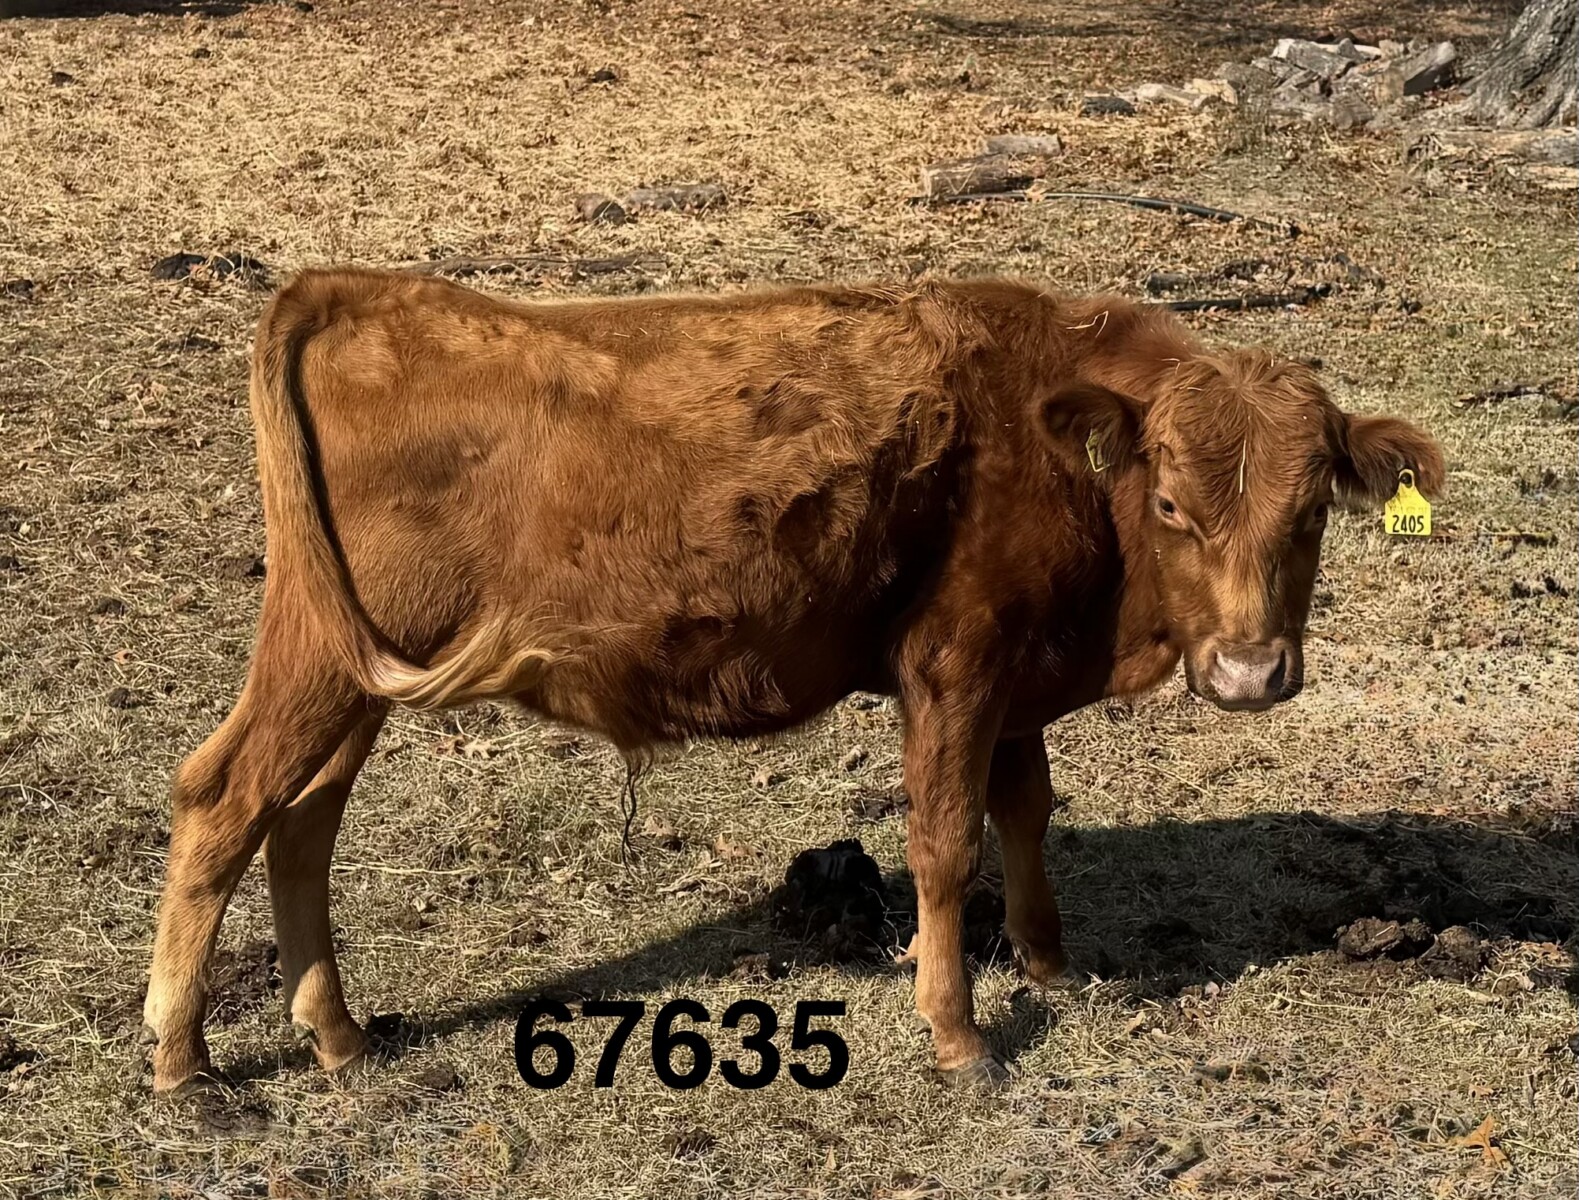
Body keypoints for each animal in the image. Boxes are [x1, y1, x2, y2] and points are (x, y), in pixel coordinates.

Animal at [141, 269, 1443, 1094]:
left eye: (1310, 512)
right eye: (1170, 504)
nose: (1250, 671)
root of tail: (359, 289)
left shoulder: (1014, 676)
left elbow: (1025, 814)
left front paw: (1050, 965)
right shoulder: (954, 666)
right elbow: (946, 844)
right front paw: (957, 1032)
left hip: (354, 677)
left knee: (300, 824)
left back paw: (338, 1035)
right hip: (319, 665)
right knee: (223, 800)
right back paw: (180, 1057)